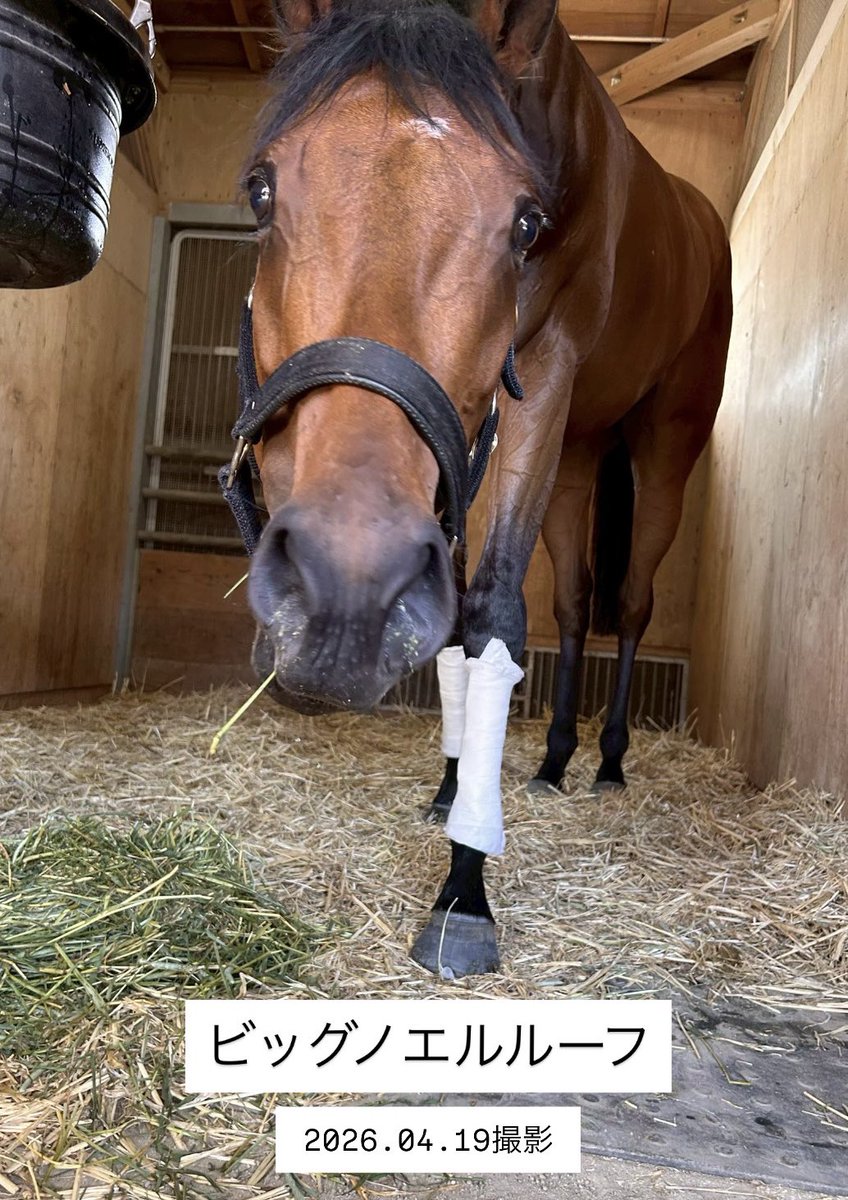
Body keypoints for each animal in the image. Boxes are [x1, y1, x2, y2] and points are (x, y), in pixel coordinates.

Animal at [224, 0, 732, 979]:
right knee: (576, 602)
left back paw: (609, 763)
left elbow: (492, 611)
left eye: (527, 224)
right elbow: (454, 617)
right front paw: (454, 785)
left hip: (664, 451)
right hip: (579, 459)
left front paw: (465, 887)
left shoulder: (542, 376)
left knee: (630, 602)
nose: (342, 593)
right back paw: (554, 759)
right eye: (260, 189)